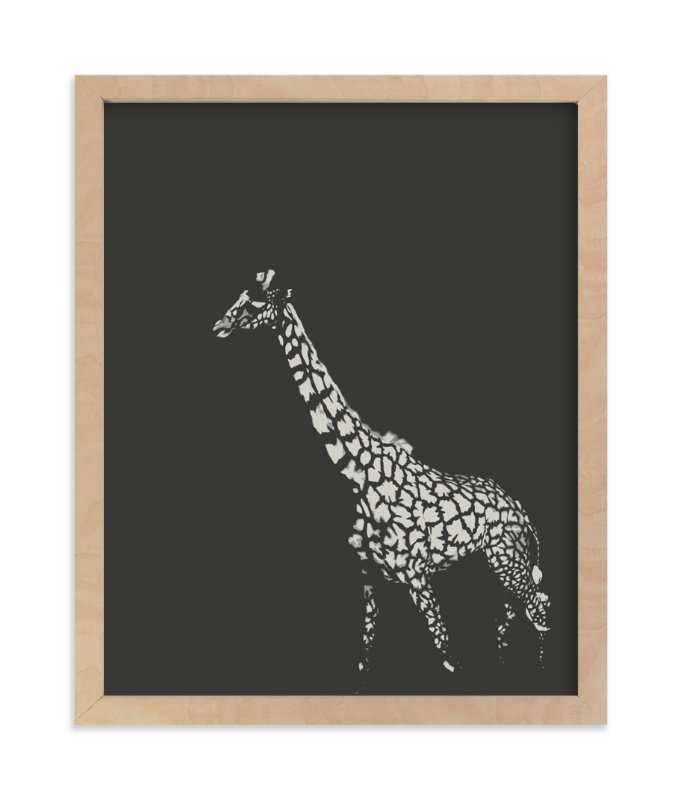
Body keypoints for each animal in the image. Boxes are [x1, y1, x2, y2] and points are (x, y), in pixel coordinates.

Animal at [213, 269, 551, 679]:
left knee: (538, 610)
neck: (359, 475)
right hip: (492, 566)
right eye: (239, 297)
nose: (219, 326)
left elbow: (447, 656)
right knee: (511, 618)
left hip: (508, 560)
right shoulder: (369, 579)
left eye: (256, 304)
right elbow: (365, 657)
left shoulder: (417, 576)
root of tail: (523, 511)